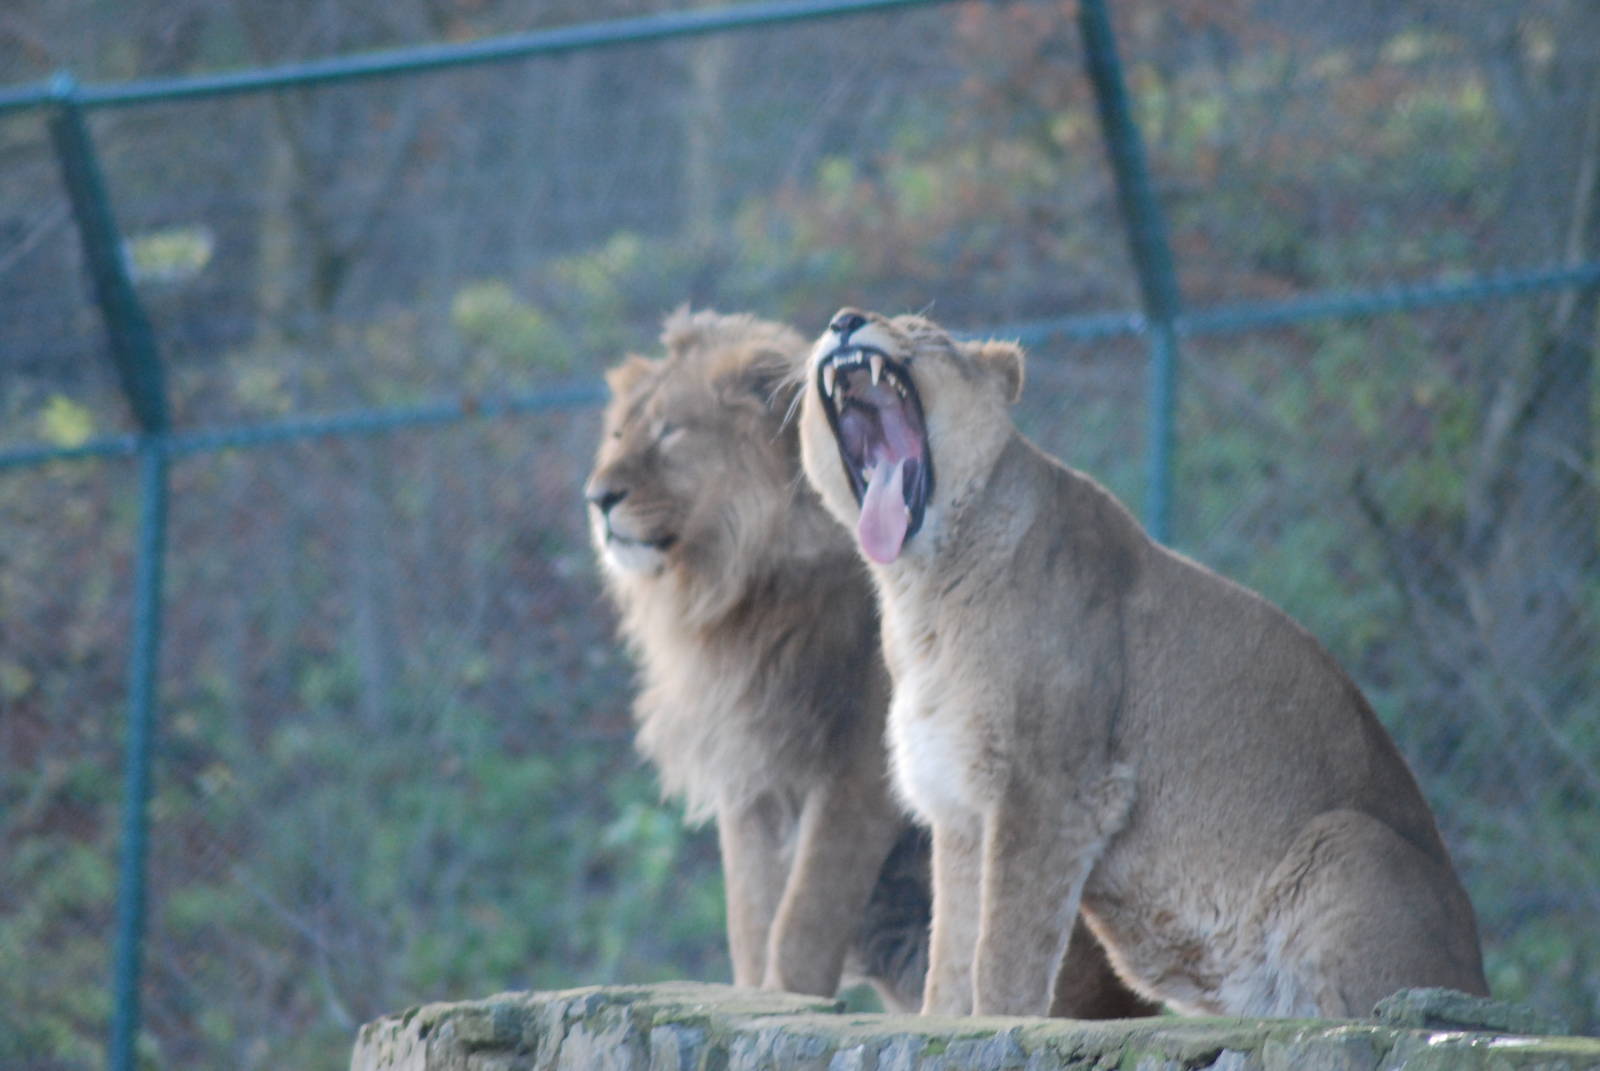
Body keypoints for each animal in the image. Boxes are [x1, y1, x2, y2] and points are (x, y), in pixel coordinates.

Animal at [585, 307, 1157, 1017]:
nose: (597, 499)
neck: (742, 594)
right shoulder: (752, 783)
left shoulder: (857, 775)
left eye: (670, 432)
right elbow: (750, 920)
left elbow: (801, 921)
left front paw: (789, 1002)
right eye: (617, 434)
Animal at [795, 307, 1489, 1019]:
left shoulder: (1053, 786)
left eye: (921, 331)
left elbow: (1006, 948)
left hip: (1344, 843)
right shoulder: (959, 806)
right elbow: (953, 950)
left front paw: (999, 1021)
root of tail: (1477, 977)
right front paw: (943, 1024)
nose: (845, 320)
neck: (922, 589)